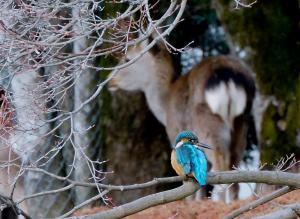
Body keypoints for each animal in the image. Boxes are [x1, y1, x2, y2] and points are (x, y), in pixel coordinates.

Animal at [108, 38, 255, 202]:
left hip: (208, 121)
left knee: (220, 158)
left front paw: (192, 201)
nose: (109, 81)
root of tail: (228, 76)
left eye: (127, 59)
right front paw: (198, 200)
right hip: (242, 120)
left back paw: (220, 200)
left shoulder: (175, 130)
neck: (165, 107)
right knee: (235, 159)